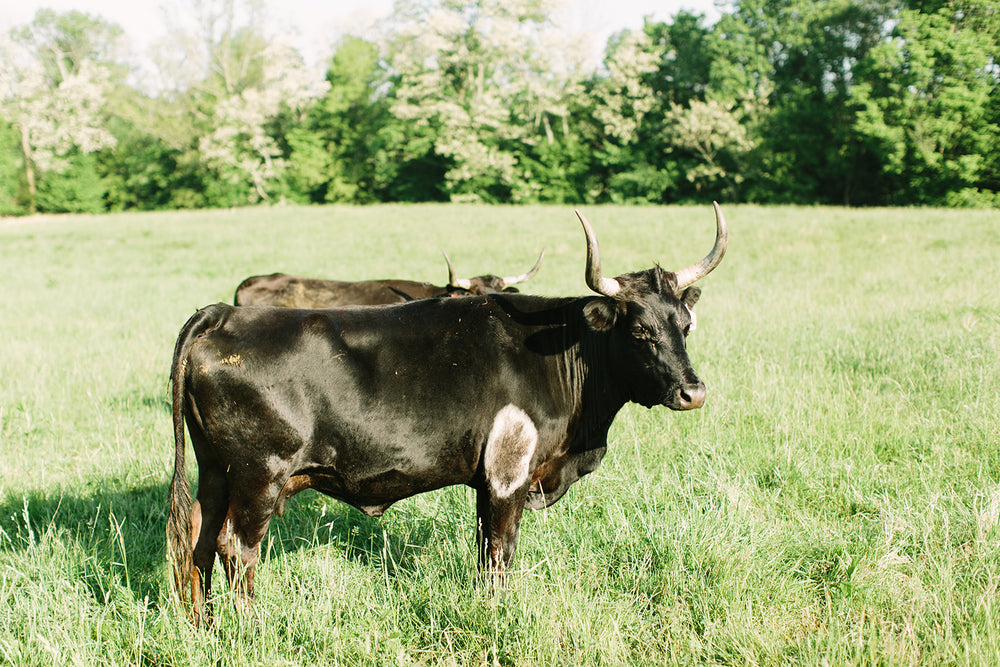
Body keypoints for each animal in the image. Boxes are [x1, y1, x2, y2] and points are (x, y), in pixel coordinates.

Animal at [166, 205, 728, 628]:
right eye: (639, 330)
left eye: (685, 324)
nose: (693, 392)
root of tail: (223, 314)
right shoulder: (508, 475)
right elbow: (500, 552)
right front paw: (498, 614)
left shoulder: (487, 479)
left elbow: (483, 552)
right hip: (259, 474)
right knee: (236, 546)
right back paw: (251, 628)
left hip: (216, 470)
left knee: (197, 537)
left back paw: (203, 625)